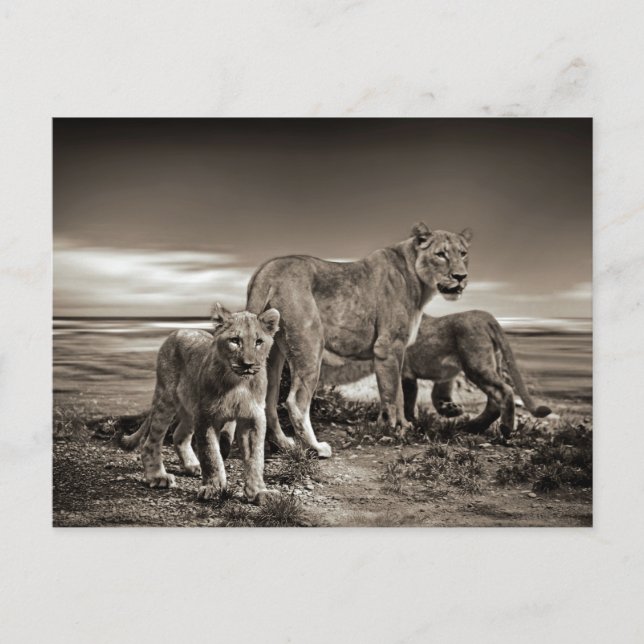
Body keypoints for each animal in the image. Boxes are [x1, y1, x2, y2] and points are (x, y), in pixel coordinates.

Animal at [120, 304, 281, 505]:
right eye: (235, 340)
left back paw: (192, 465)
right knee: (151, 442)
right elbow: (211, 454)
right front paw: (214, 488)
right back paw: (158, 476)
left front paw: (259, 492)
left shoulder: (253, 417)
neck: (238, 383)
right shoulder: (206, 416)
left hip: (190, 408)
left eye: (259, 342)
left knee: (179, 435)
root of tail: (179, 330)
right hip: (166, 399)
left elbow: (255, 458)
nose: (248, 364)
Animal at [246, 222, 473, 457]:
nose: (460, 276)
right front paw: (397, 429)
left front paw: (394, 425)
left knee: (268, 400)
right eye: (440, 254)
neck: (418, 281)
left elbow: (395, 393)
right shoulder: (388, 346)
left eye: (463, 253)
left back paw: (283, 444)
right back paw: (316, 447)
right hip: (310, 344)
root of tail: (265, 272)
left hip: (273, 355)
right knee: (295, 402)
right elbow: (394, 393)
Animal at [319, 310, 551, 438]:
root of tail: (484, 316)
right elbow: (428, 396)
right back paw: (472, 426)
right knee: (494, 399)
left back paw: (505, 428)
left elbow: (405, 397)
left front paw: (409, 420)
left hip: (476, 364)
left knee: (504, 391)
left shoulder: (407, 372)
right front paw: (449, 410)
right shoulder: (441, 375)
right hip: (487, 363)